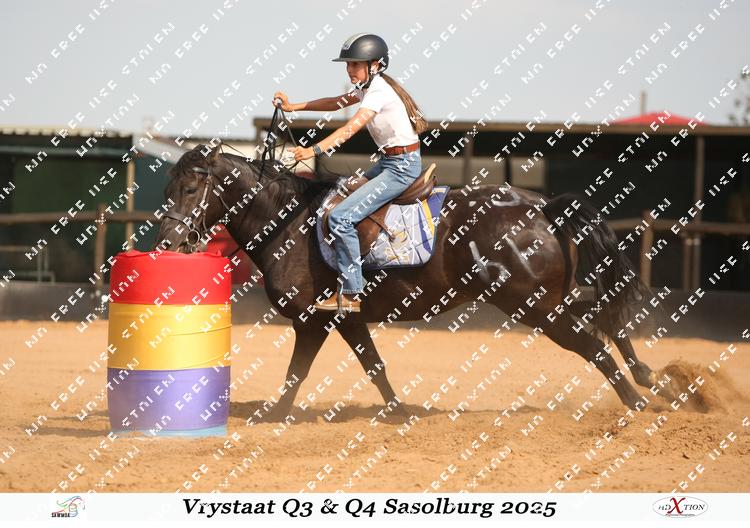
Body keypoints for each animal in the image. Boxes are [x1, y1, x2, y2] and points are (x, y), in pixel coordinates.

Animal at [153, 141, 665, 421]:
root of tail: (541, 206)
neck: (291, 222)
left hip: (535, 305)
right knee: (607, 320)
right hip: (552, 298)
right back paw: (651, 380)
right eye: (168, 188)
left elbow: (298, 372)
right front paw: (398, 413)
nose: (168, 241)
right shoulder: (345, 318)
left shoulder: (313, 321)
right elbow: (374, 366)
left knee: (593, 342)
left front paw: (273, 417)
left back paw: (636, 401)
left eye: (191, 188)